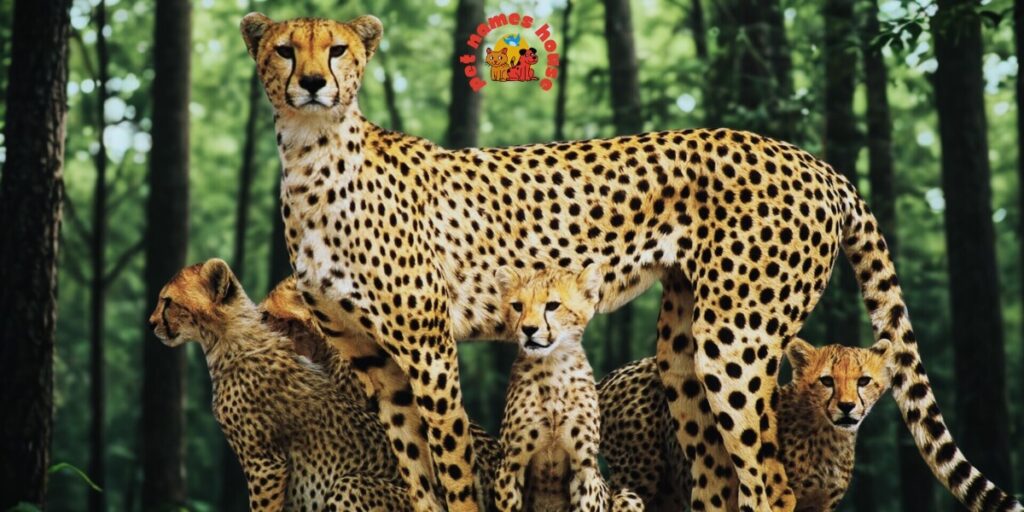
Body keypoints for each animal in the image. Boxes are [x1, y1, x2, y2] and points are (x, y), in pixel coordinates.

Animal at [492, 265, 643, 512]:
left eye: (553, 305)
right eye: (517, 306)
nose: (528, 329)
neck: (552, 366)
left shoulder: (584, 466)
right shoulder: (511, 464)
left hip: (628, 495)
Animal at [598, 338, 894, 512]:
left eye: (863, 381)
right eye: (827, 381)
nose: (847, 406)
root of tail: (615, 372)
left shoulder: (821, 506)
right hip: (640, 474)